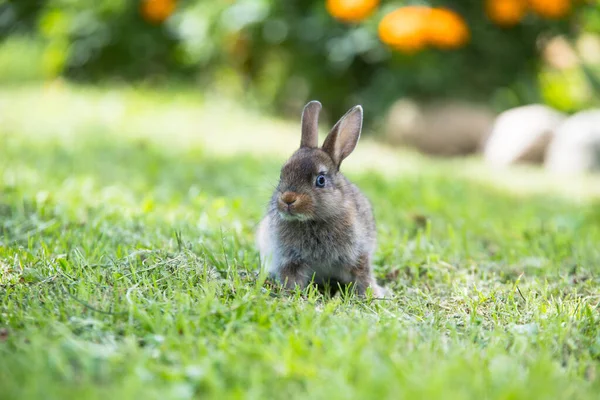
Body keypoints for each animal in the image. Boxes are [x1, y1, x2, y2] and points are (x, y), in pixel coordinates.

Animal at [256, 100, 386, 296]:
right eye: (282, 174)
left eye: (321, 180)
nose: (288, 199)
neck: (313, 221)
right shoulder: (289, 259)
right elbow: (291, 278)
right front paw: (290, 294)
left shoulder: (359, 254)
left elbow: (363, 275)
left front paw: (374, 294)